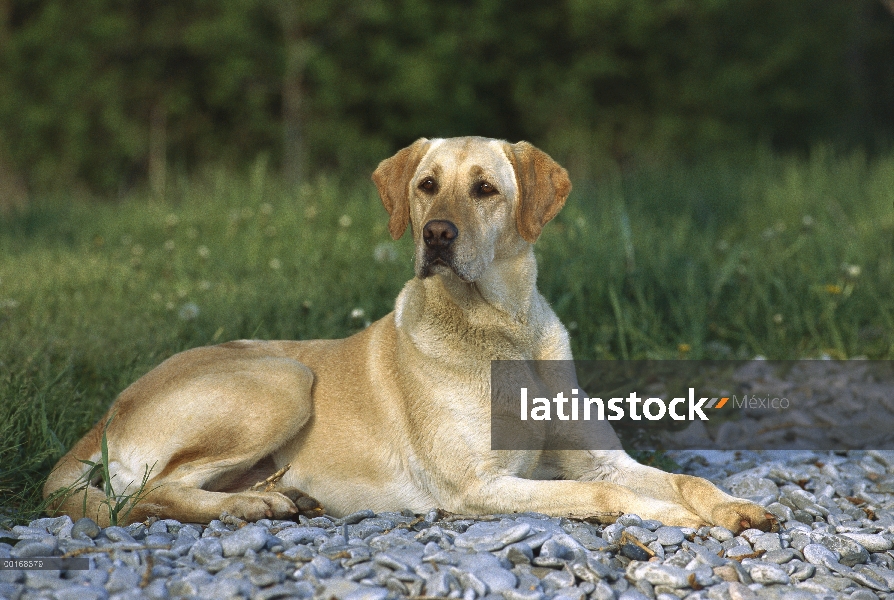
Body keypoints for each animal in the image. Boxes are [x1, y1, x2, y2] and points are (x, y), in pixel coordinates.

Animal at [45, 137, 776, 536]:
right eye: (427, 186)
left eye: (485, 190)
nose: (437, 234)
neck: (500, 331)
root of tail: (107, 410)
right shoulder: (478, 486)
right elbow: (604, 496)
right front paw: (675, 519)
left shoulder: (599, 458)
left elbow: (686, 480)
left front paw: (737, 507)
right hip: (284, 377)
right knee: (142, 495)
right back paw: (251, 505)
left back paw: (278, 496)